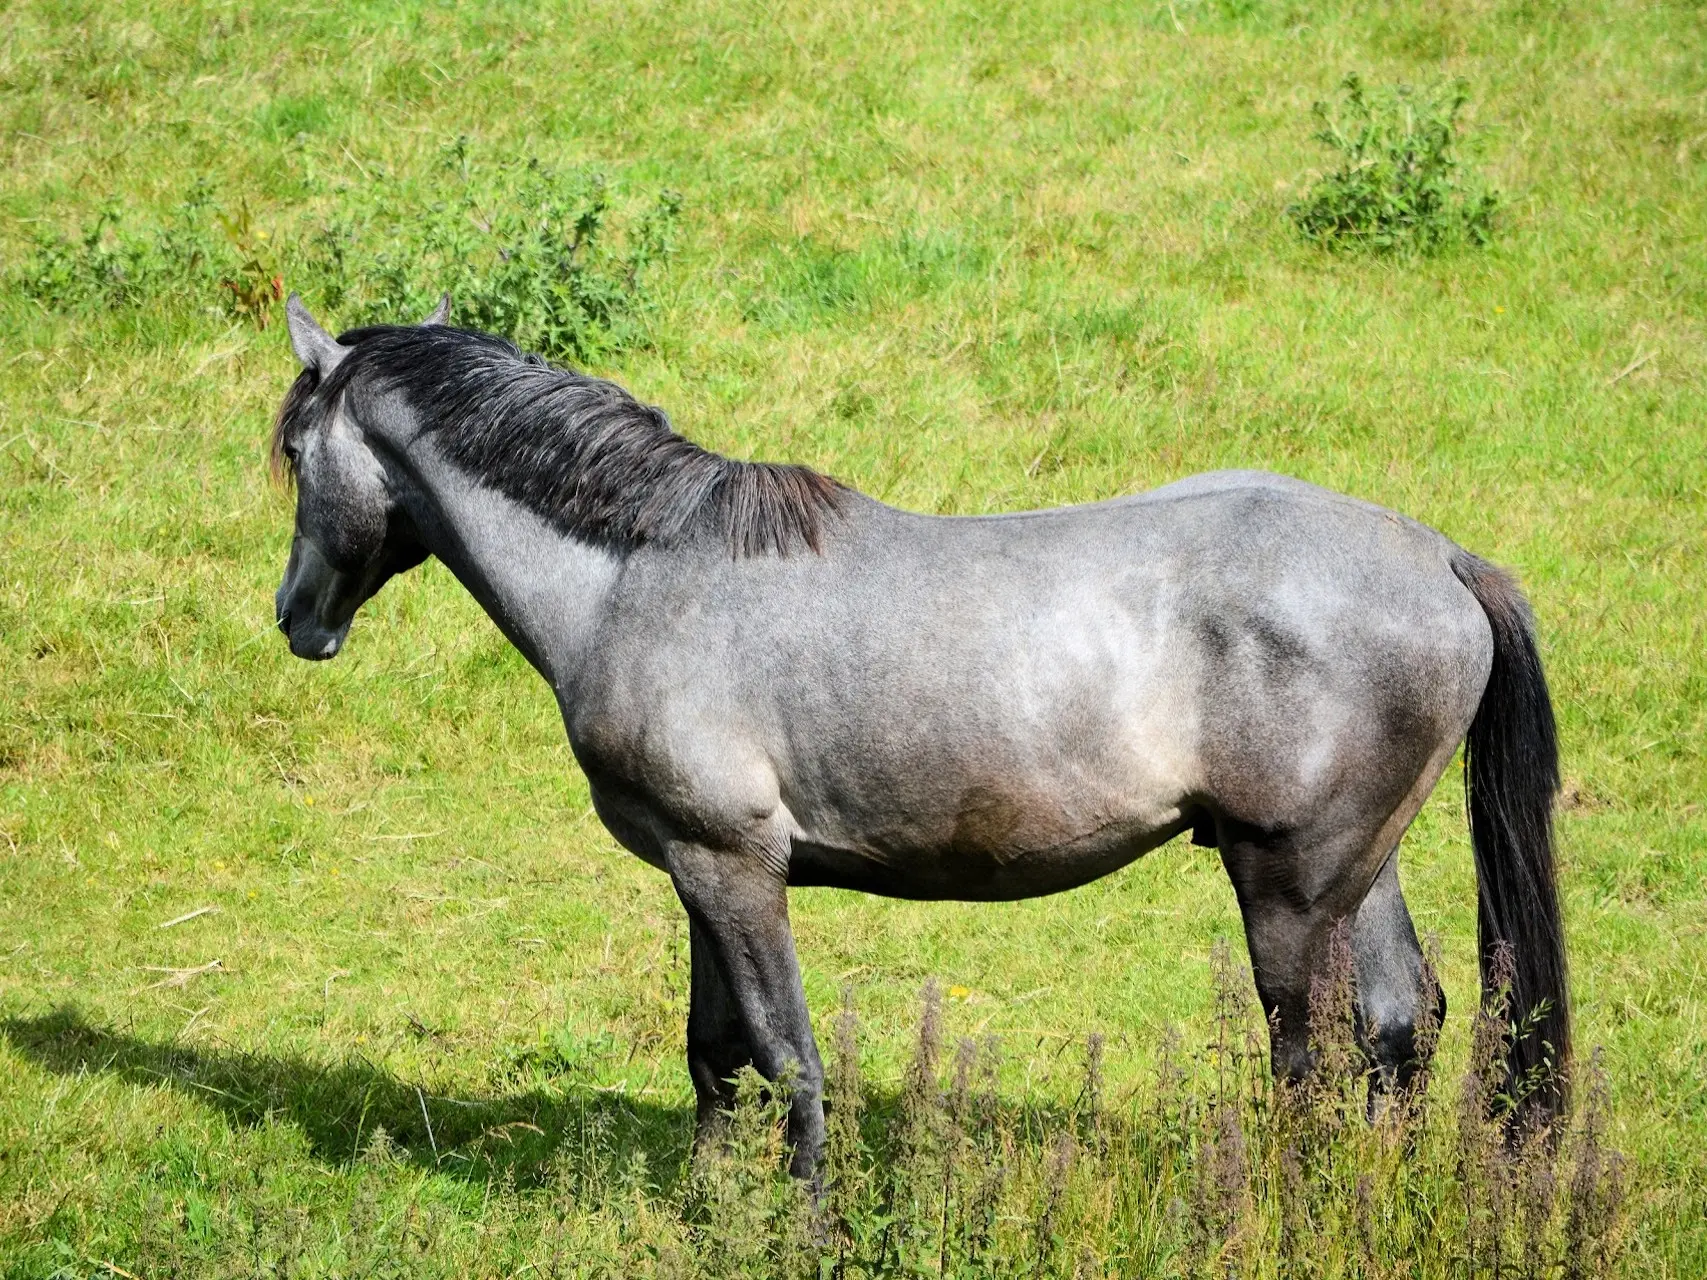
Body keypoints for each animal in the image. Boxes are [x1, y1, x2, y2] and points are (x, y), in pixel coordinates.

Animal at [273, 295, 1563, 1181]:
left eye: (291, 451)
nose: (297, 617)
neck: (645, 574)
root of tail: (1442, 558)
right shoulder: (699, 871)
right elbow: (714, 1053)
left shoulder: (734, 864)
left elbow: (785, 1054)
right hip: (1356, 869)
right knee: (1400, 1025)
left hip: (1289, 887)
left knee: (1315, 1056)